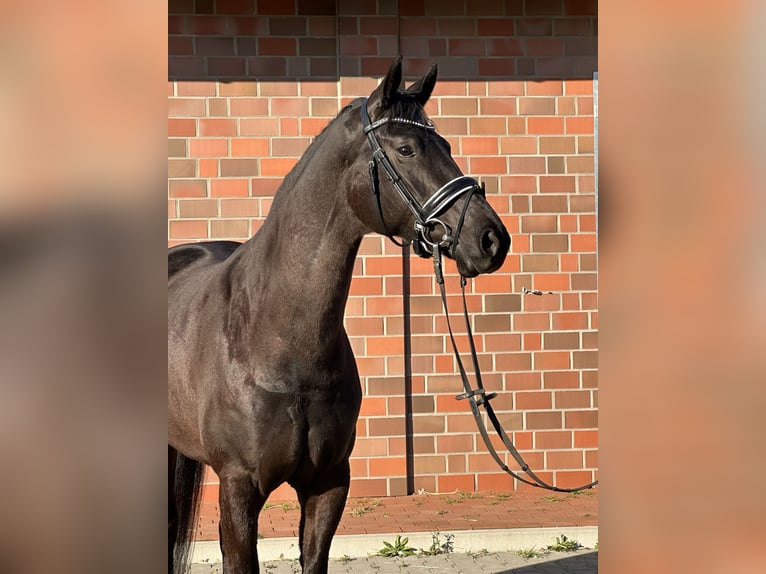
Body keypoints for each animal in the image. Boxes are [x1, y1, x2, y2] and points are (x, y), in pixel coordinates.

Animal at [171, 59, 512, 574]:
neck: (276, 338)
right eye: (406, 148)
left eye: (448, 147)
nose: (492, 239)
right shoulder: (237, 487)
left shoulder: (329, 482)